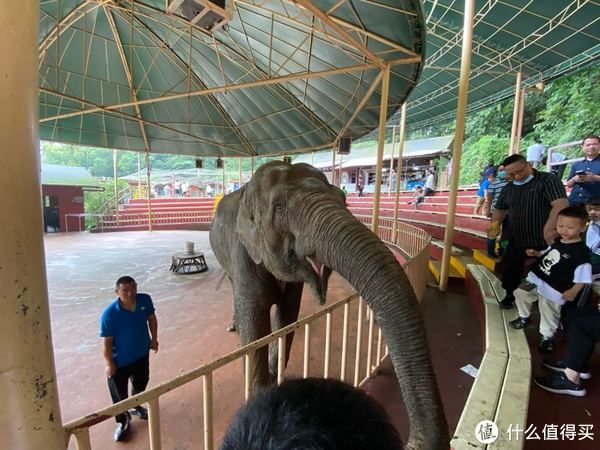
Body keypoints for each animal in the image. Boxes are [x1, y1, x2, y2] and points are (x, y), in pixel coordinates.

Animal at [209, 163, 448, 450]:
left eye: (343, 198)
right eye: (278, 207)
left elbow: (287, 318)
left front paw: (274, 375)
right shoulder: (242, 252)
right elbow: (255, 327)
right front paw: (261, 387)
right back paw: (233, 326)